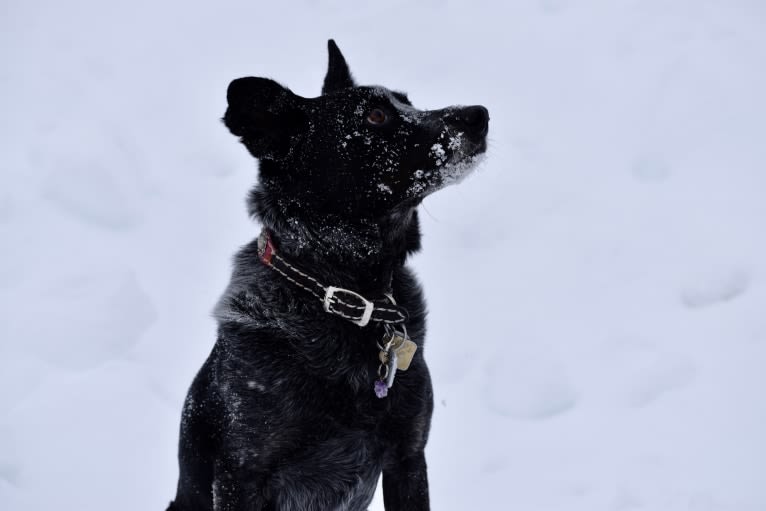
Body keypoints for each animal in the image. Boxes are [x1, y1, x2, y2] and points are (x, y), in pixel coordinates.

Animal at [170, 41, 492, 511]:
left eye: (408, 101)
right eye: (375, 116)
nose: (479, 114)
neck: (345, 291)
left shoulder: (408, 457)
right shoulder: (240, 476)